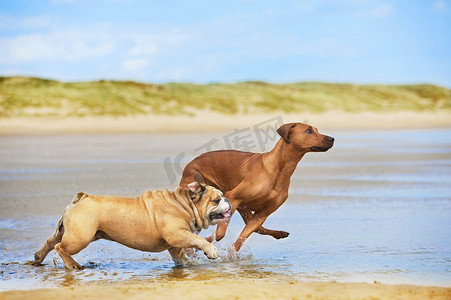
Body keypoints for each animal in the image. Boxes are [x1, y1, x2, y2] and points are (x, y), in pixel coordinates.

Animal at [30, 172, 233, 268]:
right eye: (217, 200)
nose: (228, 202)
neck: (184, 203)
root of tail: (82, 197)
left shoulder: (175, 244)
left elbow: (181, 256)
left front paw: (191, 265)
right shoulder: (177, 235)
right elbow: (198, 239)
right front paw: (211, 251)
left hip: (69, 232)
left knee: (51, 242)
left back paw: (38, 258)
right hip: (80, 238)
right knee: (60, 247)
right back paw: (72, 265)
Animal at [181, 122, 336, 251]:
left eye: (316, 129)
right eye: (309, 130)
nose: (332, 138)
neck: (279, 169)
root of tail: (190, 163)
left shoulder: (263, 213)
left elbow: (243, 236)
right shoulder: (233, 197)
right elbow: (219, 234)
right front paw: (204, 242)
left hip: (243, 208)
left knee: (256, 228)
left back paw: (279, 233)